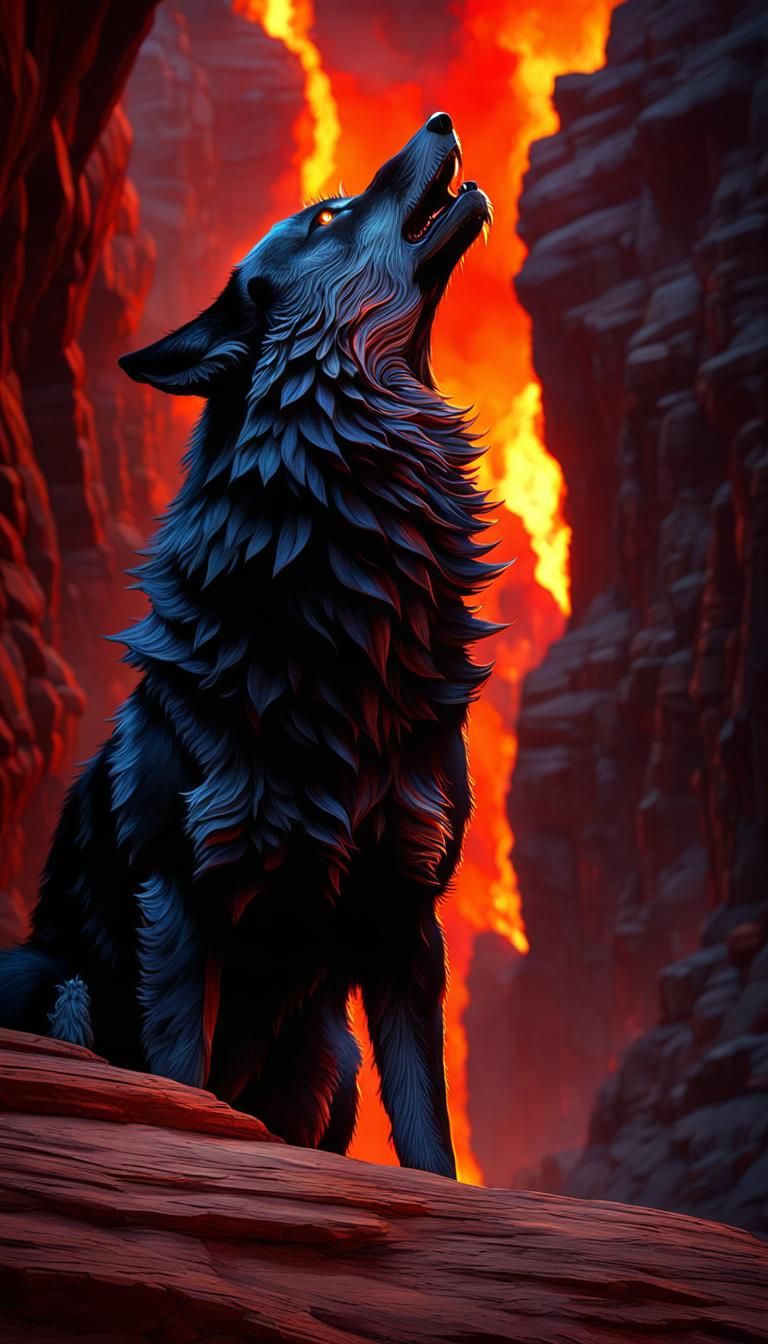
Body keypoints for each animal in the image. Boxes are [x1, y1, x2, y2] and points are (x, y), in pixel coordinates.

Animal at [0, 113, 500, 1179]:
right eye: (327, 215)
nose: (442, 121)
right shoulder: (181, 901)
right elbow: (178, 1086)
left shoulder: (407, 913)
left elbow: (428, 1132)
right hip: (50, 977)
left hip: (330, 1056)